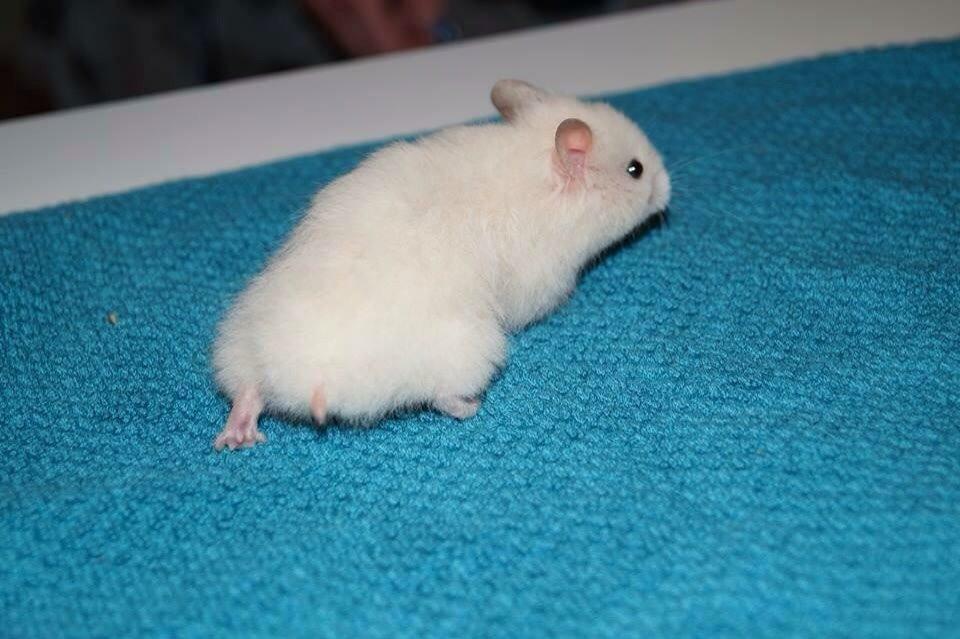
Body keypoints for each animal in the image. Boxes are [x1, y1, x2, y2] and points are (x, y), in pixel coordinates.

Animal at [212, 79, 671, 450]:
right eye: (635, 170)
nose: (669, 189)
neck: (536, 166)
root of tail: (308, 380)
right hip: (469, 351)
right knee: (442, 397)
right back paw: (473, 406)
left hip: (240, 334)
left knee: (247, 389)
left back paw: (235, 438)